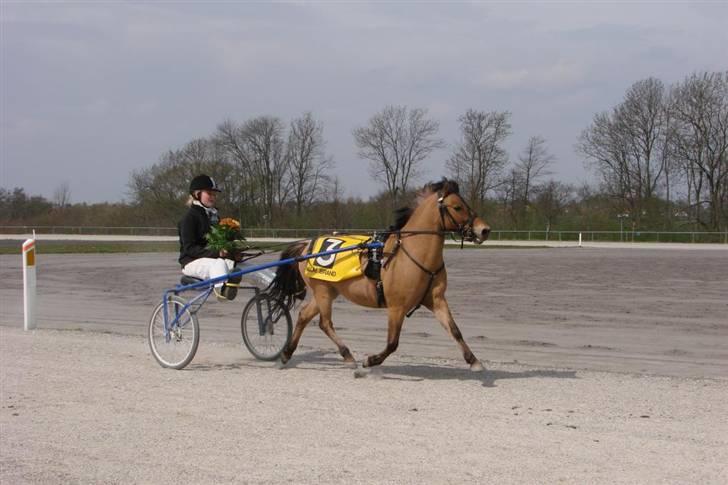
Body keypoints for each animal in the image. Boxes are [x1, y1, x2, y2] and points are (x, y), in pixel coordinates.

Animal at [270, 178, 492, 370]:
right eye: (457, 207)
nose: (484, 230)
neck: (411, 254)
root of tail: (306, 244)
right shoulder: (396, 306)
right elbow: (393, 343)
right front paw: (370, 360)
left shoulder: (436, 299)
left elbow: (455, 330)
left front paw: (474, 361)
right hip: (322, 289)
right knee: (325, 323)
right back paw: (347, 355)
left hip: (328, 290)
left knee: (304, 316)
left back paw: (287, 354)